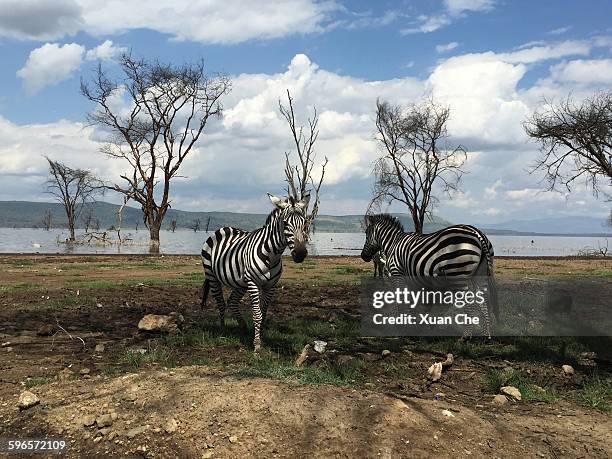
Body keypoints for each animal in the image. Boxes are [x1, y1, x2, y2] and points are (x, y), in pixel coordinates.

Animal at [202, 192, 310, 350]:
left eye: (305, 223)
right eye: (285, 223)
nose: (301, 253)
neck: (272, 255)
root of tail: (224, 228)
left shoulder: (271, 285)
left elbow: (263, 313)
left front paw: (261, 339)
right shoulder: (253, 283)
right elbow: (257, 314)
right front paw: (257, 344)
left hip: (240, 283)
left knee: (232, 302)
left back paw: (243, 328)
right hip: (212, 276)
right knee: (221, 303)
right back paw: (222, 330)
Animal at [360, 215, 500, 338]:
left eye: (366, 234)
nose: (363, 256)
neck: (393, 244)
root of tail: (476, 232)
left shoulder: (396, 274)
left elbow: (401, 301)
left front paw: (401, 326)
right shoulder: (412, 280)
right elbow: (414, 303)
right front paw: (413, 325)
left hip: (458, 274)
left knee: (470, 303)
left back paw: (465, 336)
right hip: (480, 274)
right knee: (484, 302)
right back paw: (486, 335)